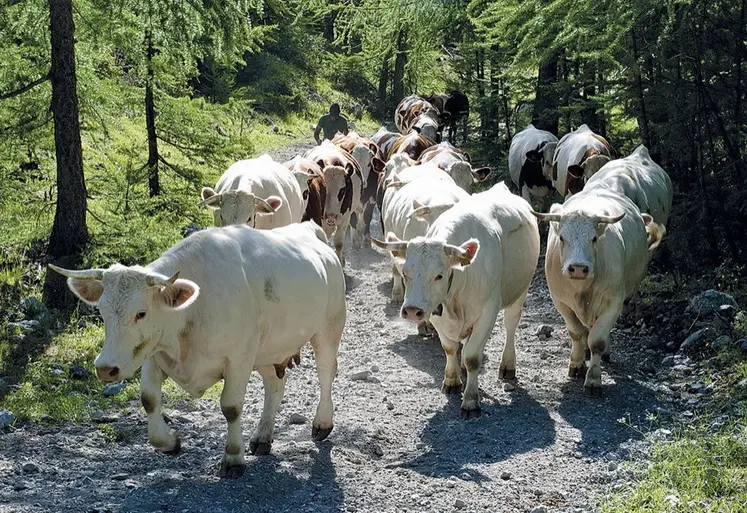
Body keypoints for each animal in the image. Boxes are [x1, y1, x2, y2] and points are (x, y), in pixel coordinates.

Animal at [49, 222, 348, 478]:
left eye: (141, 313)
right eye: (101, 312)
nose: (105, 368)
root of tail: (309, 229)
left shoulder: (238, 358)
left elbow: (231, 408)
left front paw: (233, 459)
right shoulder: (152, 355)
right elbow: (149, 399)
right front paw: (169, 442)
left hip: (328, 328)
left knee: (325, 373)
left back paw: (322, 423)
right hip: (267, 349)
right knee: (275, 384)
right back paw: (263, 437)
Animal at [376, 183, 540, 416]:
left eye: (439, 275)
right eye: (406, 273)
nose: (412, 310)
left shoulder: (488, 312)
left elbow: (472, 357)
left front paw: (471, 399)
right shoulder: (436, 313)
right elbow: (450, 348)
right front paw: (452, 380)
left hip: (520, 290)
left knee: (510, 325)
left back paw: (508, 365)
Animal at [536, 190, 668, 394]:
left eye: (594, 239)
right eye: (562, 238)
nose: (578, 268)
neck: (582, 290)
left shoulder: (613, 303)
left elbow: (597, 341)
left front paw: (593, 379)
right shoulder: (561, 302)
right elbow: (576, 333)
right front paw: (577, 364)